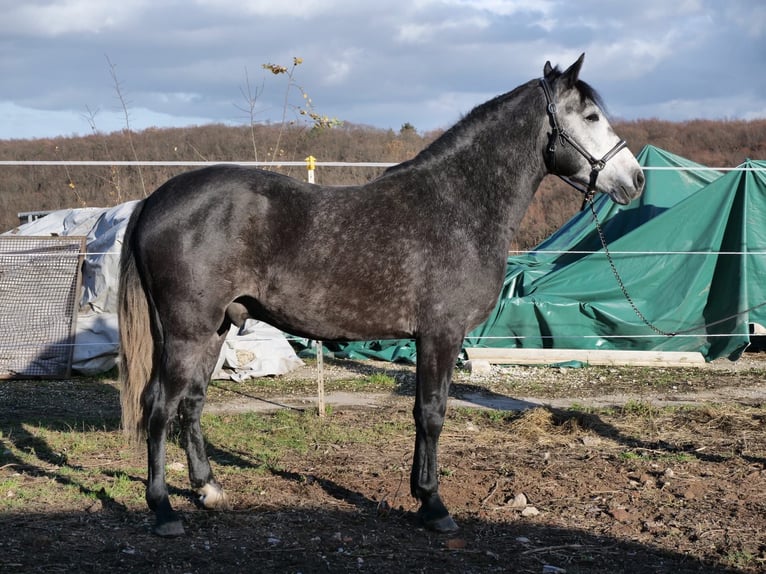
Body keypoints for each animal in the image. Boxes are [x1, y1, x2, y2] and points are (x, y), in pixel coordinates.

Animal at [118, 54, 645, 537]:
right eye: (591, 116)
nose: (636, 180)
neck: (457, 207)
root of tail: (155, 200)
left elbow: (423, 413)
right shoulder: (441, 334)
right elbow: (431, 413)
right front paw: (433, 505)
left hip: (216, 328)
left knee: (192, 402)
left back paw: (208, 489)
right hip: (187, 331)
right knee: (159, 406)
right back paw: (163, 510)